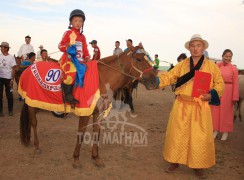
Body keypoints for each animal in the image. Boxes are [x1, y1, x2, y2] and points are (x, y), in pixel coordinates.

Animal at [18, 43, 156, 167]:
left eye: (148, 59)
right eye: (138, 59)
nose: (154, 81)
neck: (102, 78)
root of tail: (28, 68)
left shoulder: (99, 113)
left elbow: (96, 132)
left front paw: (96, 157)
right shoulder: (85, 111)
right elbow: (81, 132)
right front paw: (76, 158)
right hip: (31, 102)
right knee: (34, 122)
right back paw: (36, 146)